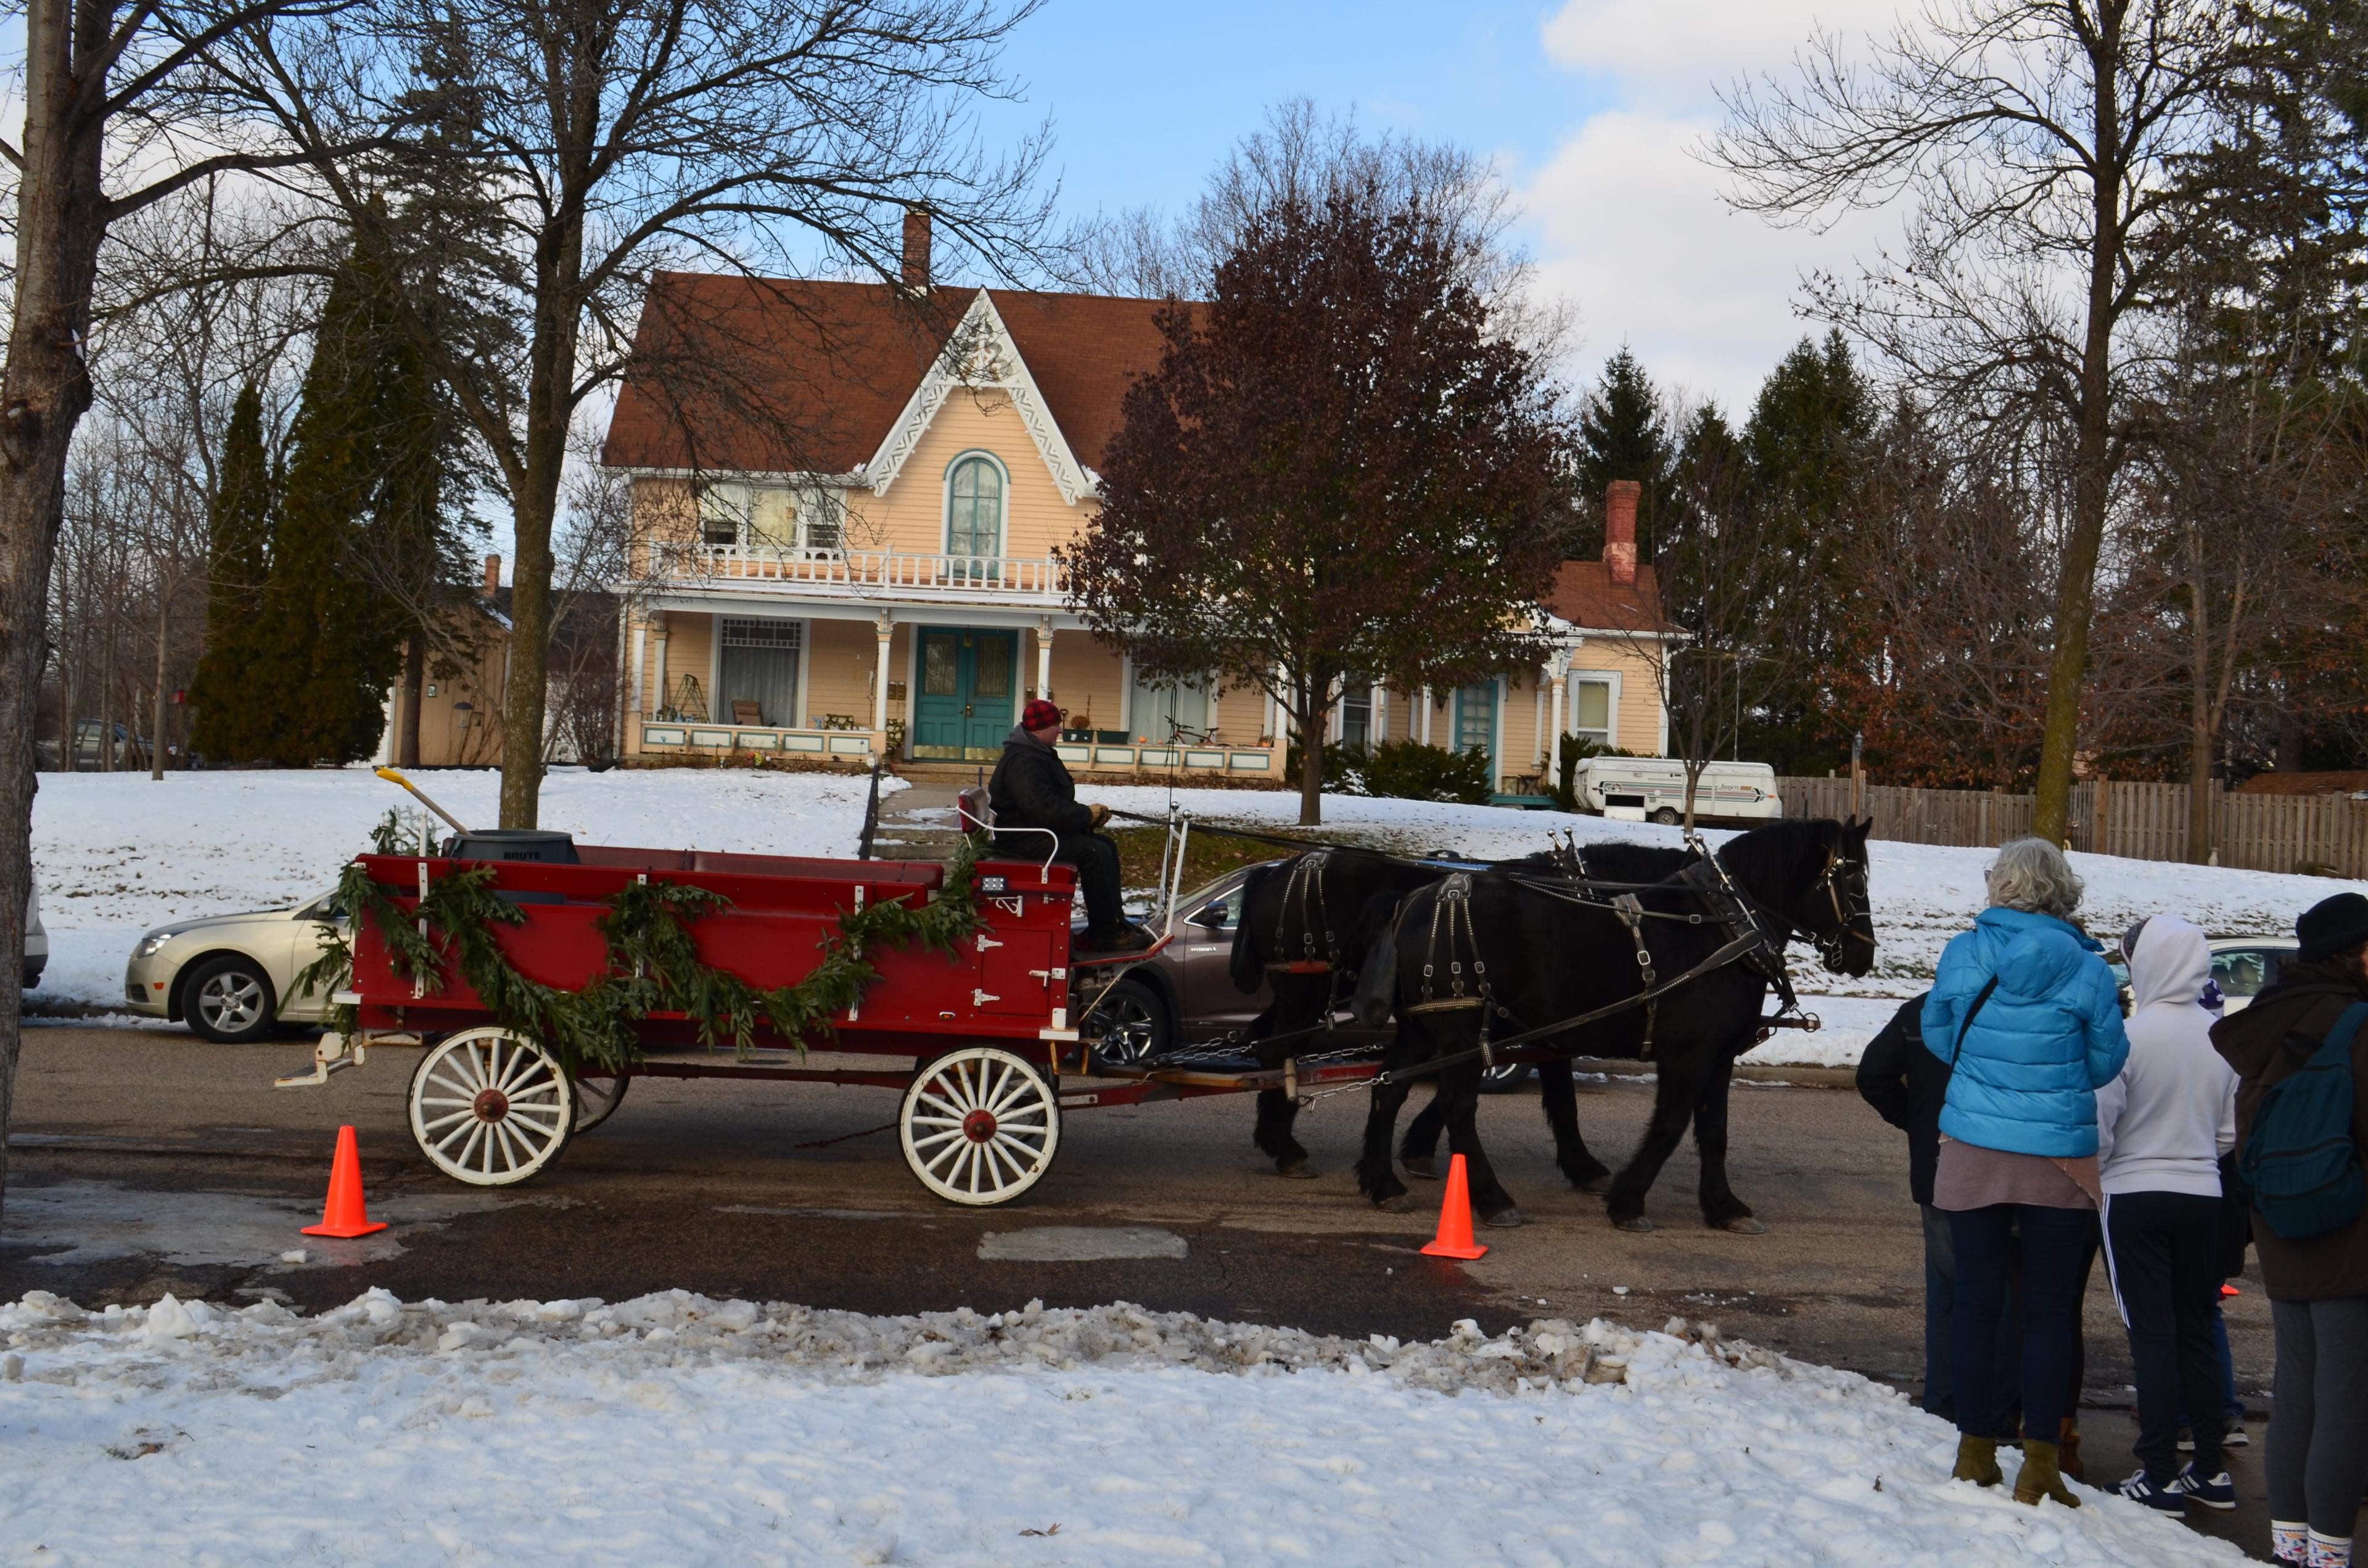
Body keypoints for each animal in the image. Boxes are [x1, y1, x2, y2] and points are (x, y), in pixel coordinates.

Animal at [1354, 815, 1865, 1231]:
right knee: (1457, 1105)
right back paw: (1493, 1199)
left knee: (1388, 1088)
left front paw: (1724, 1207)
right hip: (1459, 1031)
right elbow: (1668, 1125)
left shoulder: (1719, 1056)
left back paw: (1384, 1185)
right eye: (1855, 877)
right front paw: (1628, 1201)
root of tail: (1412, 901)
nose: (1865, 953)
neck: (1725, 928)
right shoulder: (1688, 1054)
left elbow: (1714, 1131)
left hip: (1422, 1029)